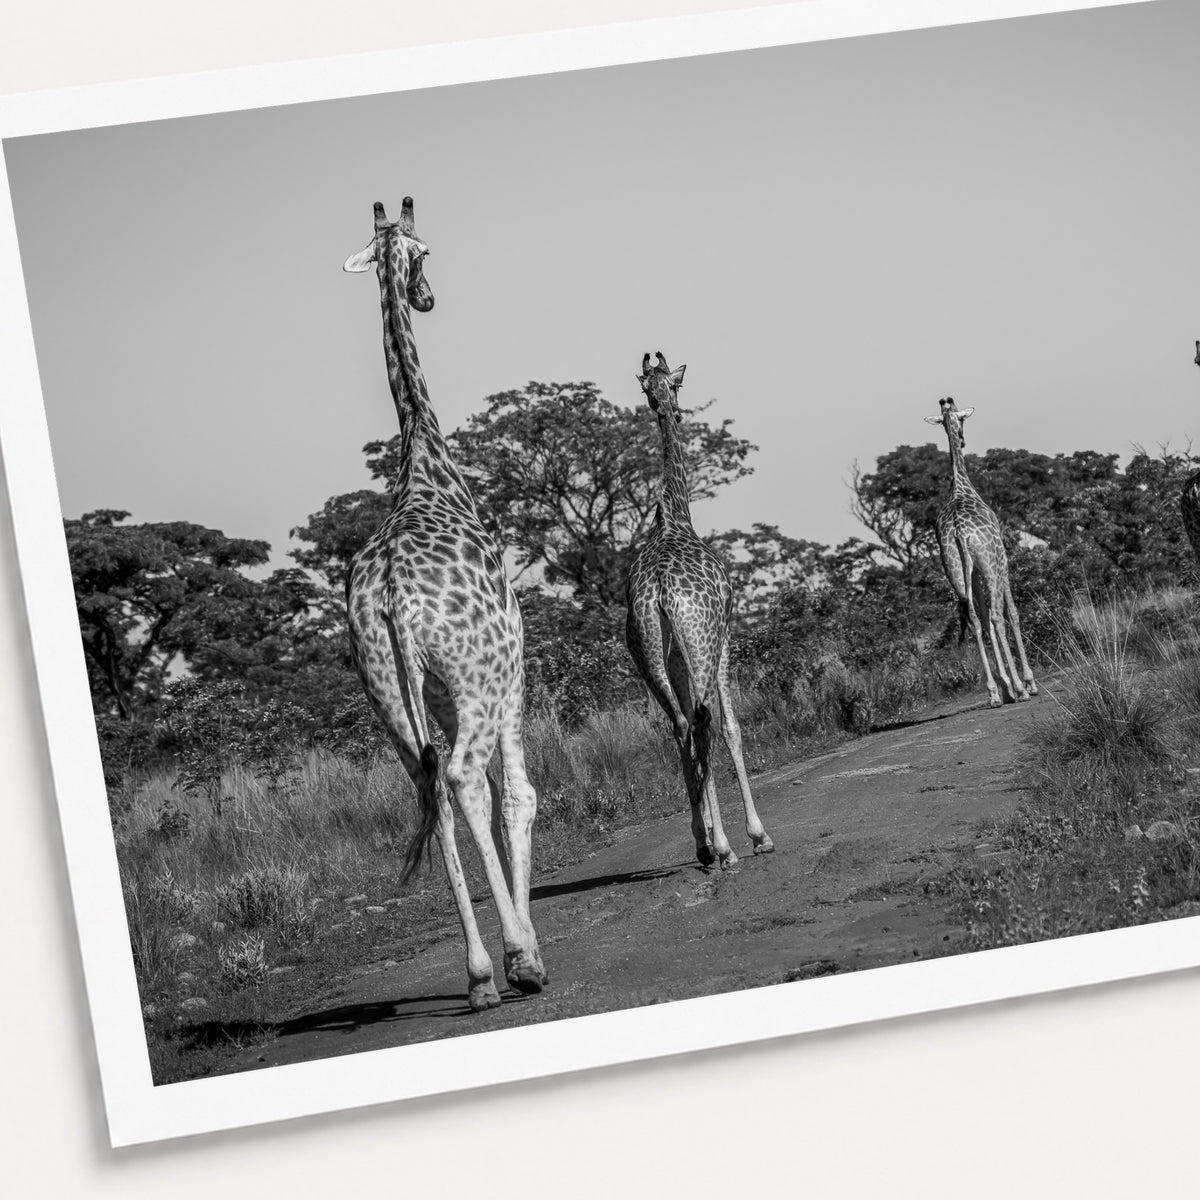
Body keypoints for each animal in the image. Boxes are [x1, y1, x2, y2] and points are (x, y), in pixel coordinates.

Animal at [342, 198, 546, 1011]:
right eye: (427, 254)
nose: (426, 297)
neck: (425, 463)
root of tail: (395, 596)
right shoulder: (513, 665)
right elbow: (516, 795)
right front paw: (526, 949)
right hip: (477, 677)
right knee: (462, 781)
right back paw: (519, 959)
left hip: (386, 694)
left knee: (430, 792)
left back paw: (480, 975)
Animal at [625, 352, 774, 869]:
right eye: (677, 384)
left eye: (661, 386)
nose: (671, 407)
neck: (675, 516)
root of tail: (661, 591)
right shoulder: (725, 634)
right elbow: (732, 727)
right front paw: (756, 835)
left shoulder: (672, 655)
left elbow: (689, 727)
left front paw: (708, 834)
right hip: (703, 642)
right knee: (706, 722)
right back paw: (727, 846)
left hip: (648, 652)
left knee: (681, 725)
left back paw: (705, 845)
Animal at [925, 397, 1036, 708]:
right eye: (963, 420)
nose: (962, 440)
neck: (961, 486)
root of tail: (960, 533)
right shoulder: (1002, 559)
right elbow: (1012, 612)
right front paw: (1027, 682)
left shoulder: (970, 571)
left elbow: (983, 618)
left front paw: (1005, 686)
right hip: (991, 564)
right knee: (998, 616)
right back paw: (1021, 689)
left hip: (955, 570)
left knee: (975, 618)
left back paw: (996, 692)